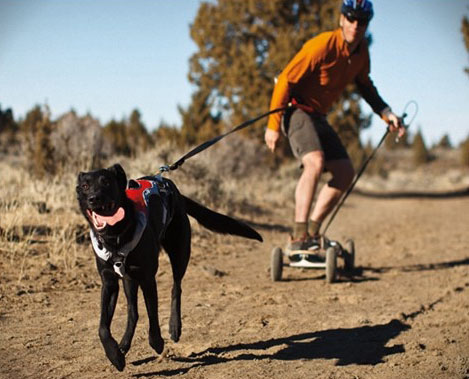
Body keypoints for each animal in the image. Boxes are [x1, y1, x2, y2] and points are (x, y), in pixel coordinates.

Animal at [75, 164, 262, 372]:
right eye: (85, 186)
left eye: (106, 182)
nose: (94, 198)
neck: (115, 237)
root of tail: (170, 185)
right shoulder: (109, 282)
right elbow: (102, 327)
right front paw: (114, 355)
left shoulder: (148, 278)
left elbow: (153, 315)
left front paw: (157, 342)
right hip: (129, 279)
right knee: (133, 311)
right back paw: (123, 344)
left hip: (179, 253)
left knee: (176, 288)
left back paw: (174, 327)